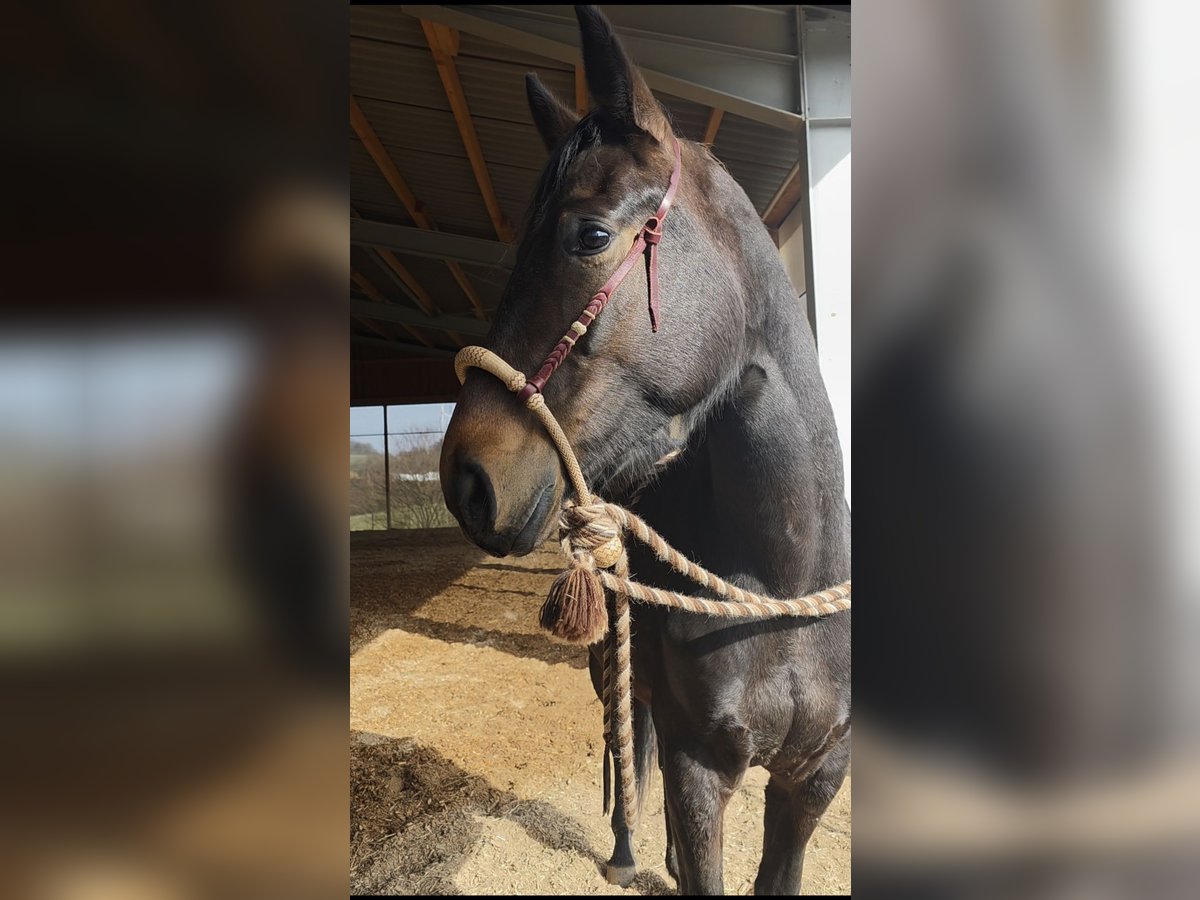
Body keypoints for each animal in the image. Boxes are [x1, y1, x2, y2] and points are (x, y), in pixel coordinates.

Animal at [439, 7, 850, 894]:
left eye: (590, 234)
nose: (466, 478)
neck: (783, 591)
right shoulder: (704, 772)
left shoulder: (814, 780)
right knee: (627, 735)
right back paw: (629, 850)